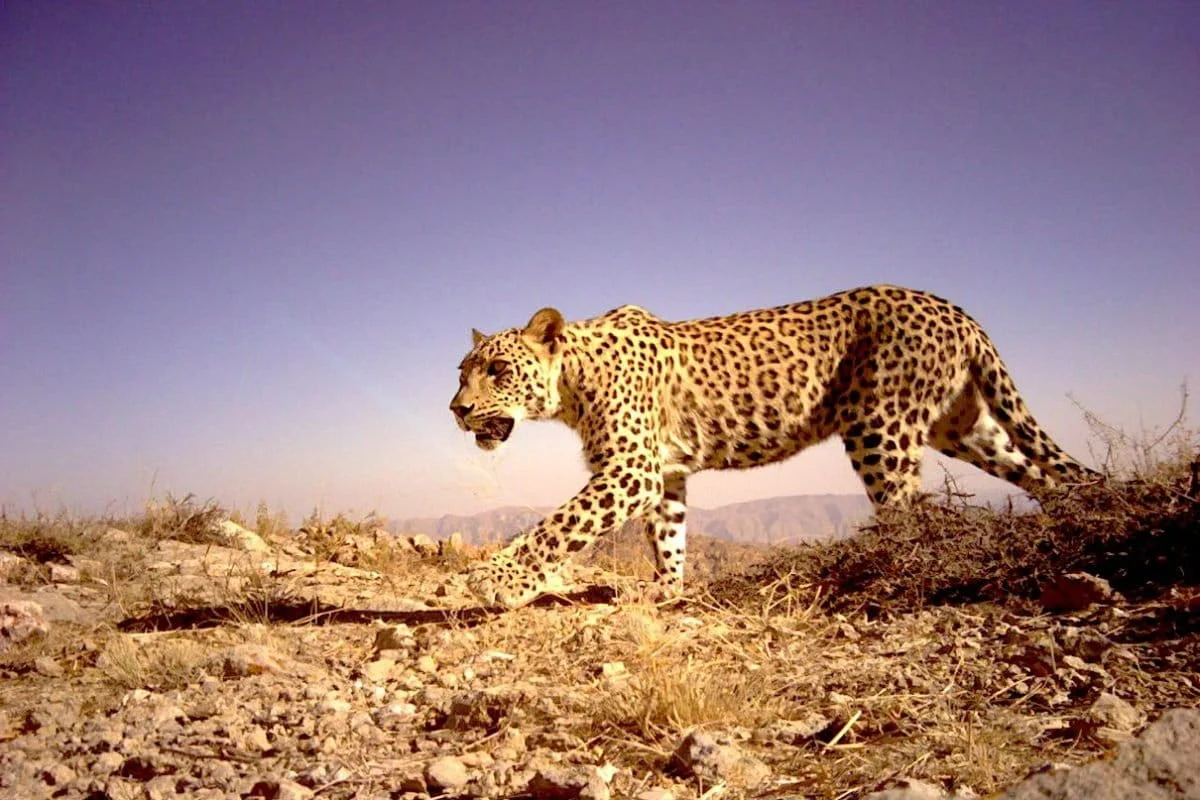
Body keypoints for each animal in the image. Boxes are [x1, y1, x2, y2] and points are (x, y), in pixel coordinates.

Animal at [449, 284, 1098, 608]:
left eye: (498, 370)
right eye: (462, 372)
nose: (456, 410)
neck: (571, 385)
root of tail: (956, 310)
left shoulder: (631, 470)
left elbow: (558, 526)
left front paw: (499, 581)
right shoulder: (664, 474)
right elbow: (669, 537)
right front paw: (666, 590)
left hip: (880, 431)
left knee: (907, 513)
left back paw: (886, 576)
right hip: (962, 427)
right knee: (1039, 470)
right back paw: (1073, 523)